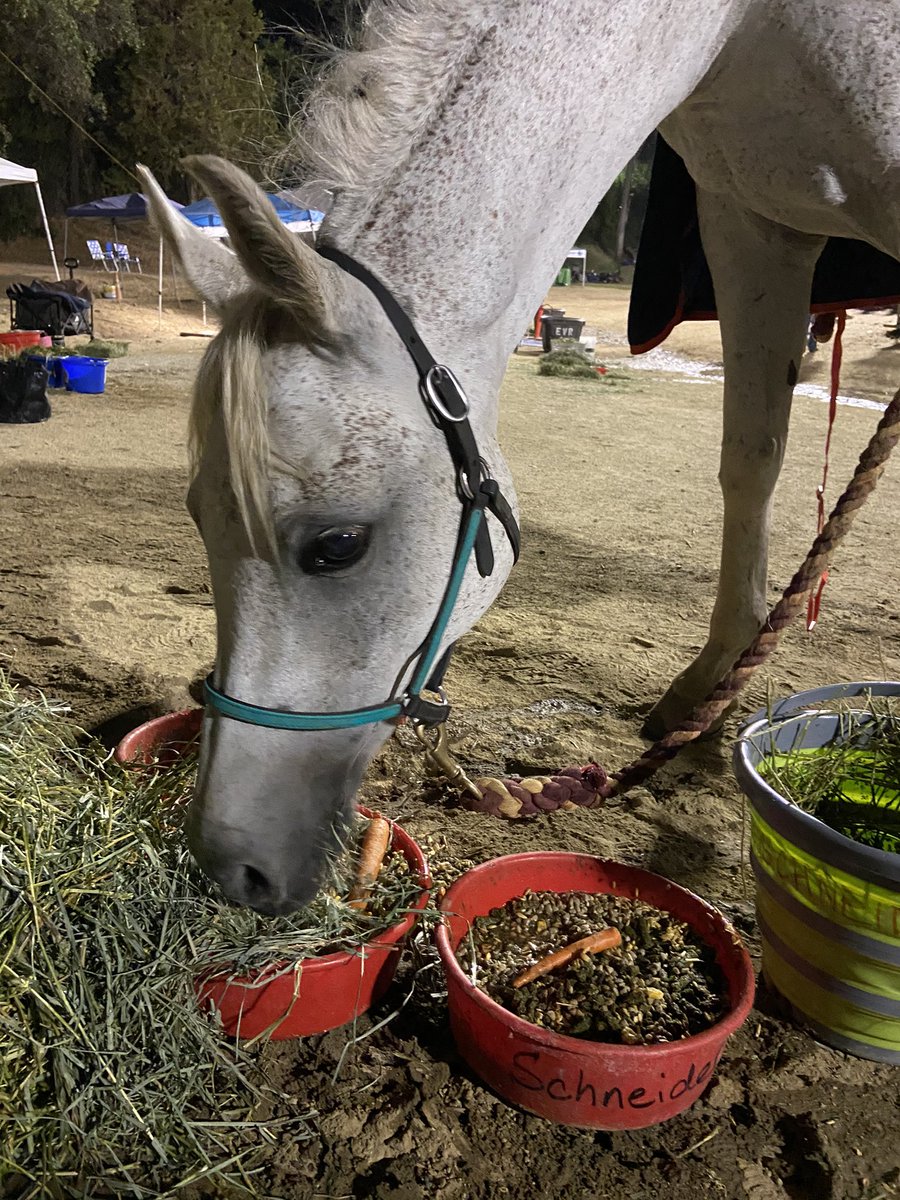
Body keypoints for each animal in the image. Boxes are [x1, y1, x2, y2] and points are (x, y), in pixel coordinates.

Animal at [140, 0, 900, 914]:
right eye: (198, 518)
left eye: (338, 545)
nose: (230, 865)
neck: (748, 29)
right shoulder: (752, 223)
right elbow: (750, 455)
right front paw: (710, 696)